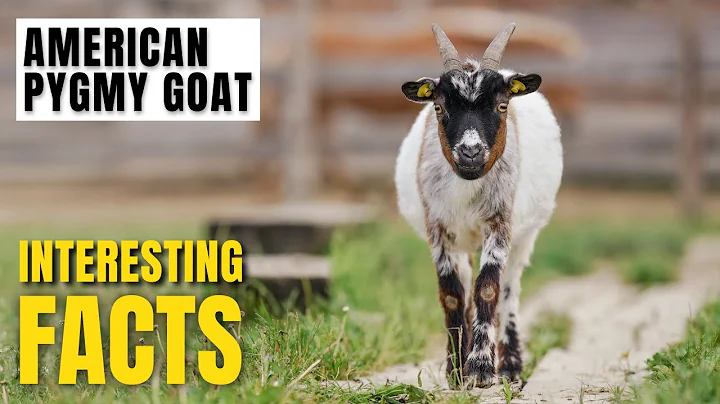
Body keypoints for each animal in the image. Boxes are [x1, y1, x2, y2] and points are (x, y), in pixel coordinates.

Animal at [394, 23, 563, 388]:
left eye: (502, 106)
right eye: (439, 108)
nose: (470, 152)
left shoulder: (499, 223)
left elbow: (487, 289)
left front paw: (482, 368)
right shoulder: (438, 228)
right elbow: (453, 293)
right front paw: (456, 369)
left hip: (526, 235)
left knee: (510, 290)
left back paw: (511, 366)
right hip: (462, 242)